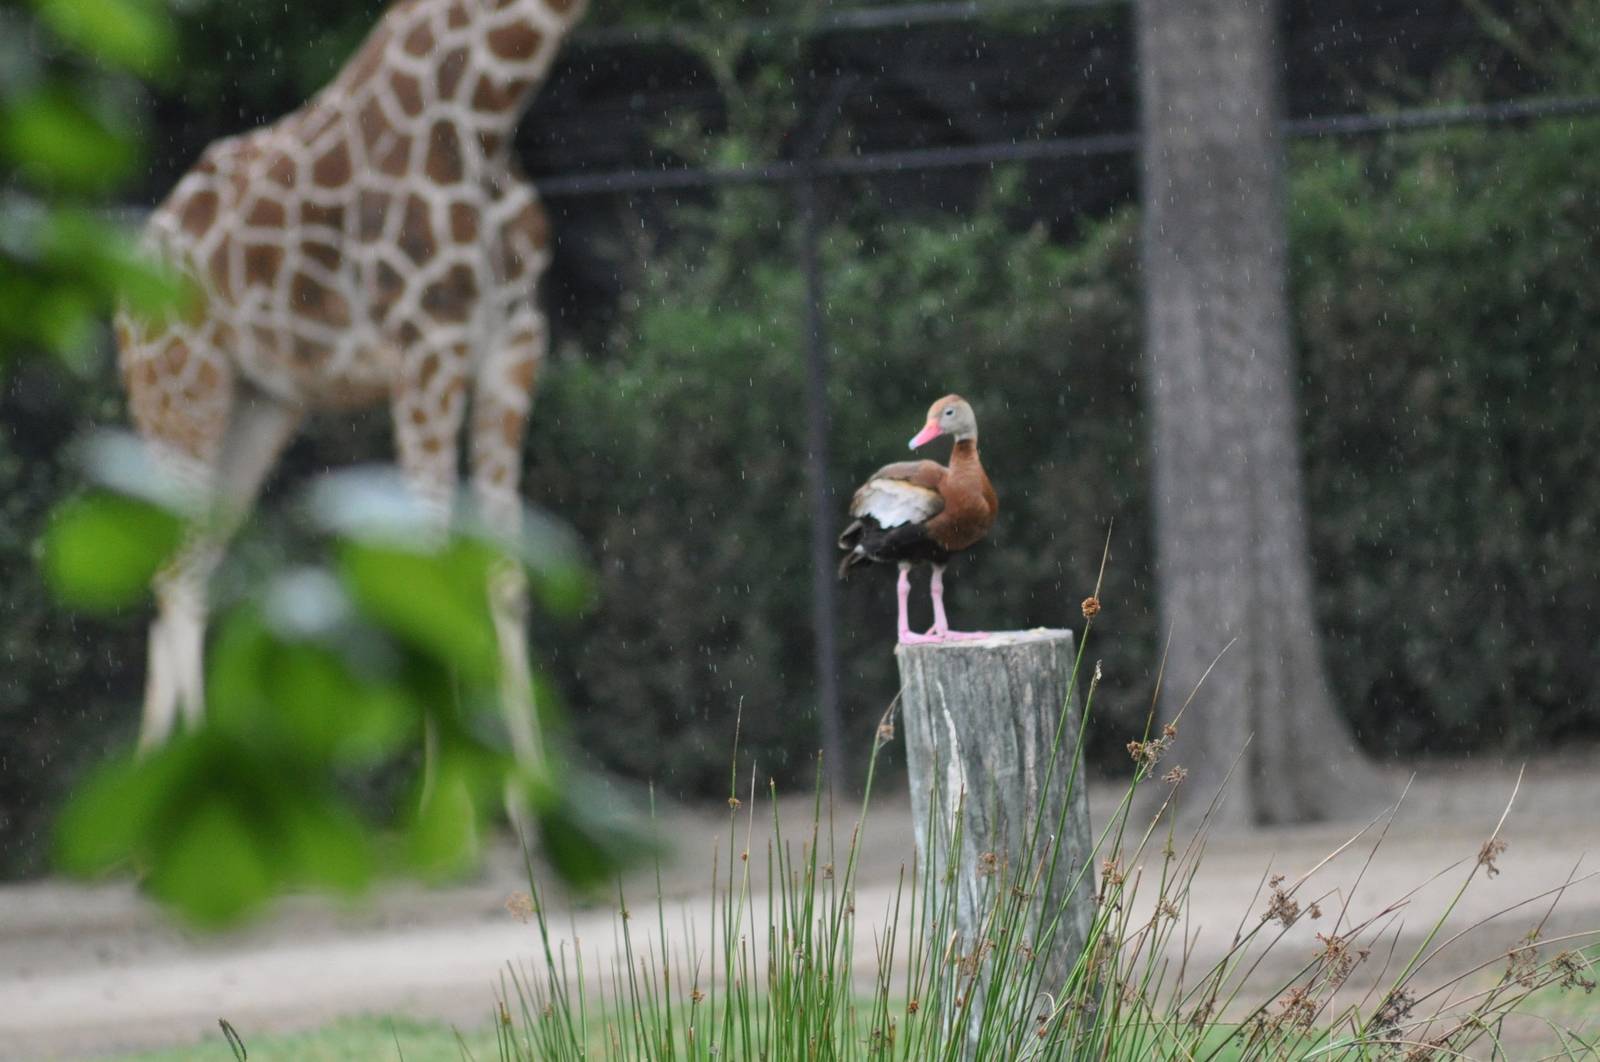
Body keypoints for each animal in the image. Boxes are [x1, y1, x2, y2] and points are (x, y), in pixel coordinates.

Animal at [115, 0, 588, 768]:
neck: (489, 103)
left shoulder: (515, 343)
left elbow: (507, 576)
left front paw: (534, 799)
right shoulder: (428, 345)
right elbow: (432, 575)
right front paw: (449, 798)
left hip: (260, 408)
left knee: (189, 575)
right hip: (178, 392)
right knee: (176, 580)